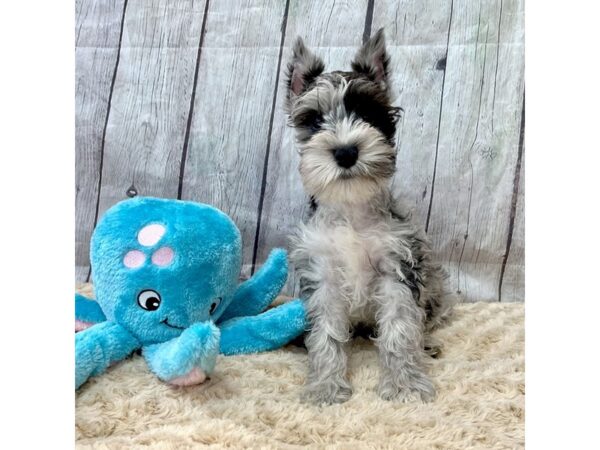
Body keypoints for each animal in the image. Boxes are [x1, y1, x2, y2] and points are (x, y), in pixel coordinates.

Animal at [284, 29, 450, 406]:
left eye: (369, 113)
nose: (346, 152)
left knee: (425, 321)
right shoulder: (323, 277)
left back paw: (427, 344)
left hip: (433, 287)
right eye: (314, 121)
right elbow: (326, 335)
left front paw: (405, 384)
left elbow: (400, 329)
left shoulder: (397, 270)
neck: (351, 211)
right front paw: (326, 386)